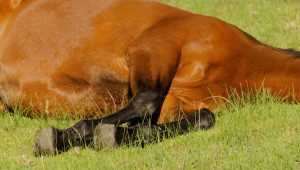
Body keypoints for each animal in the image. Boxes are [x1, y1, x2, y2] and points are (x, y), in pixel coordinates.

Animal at [0, 0, 298, 155]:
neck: (243, 62)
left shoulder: (176, 104)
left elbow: (202, 118)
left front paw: (114, 135)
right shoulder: (154, 47)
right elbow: (146, 100)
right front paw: (64, 135)